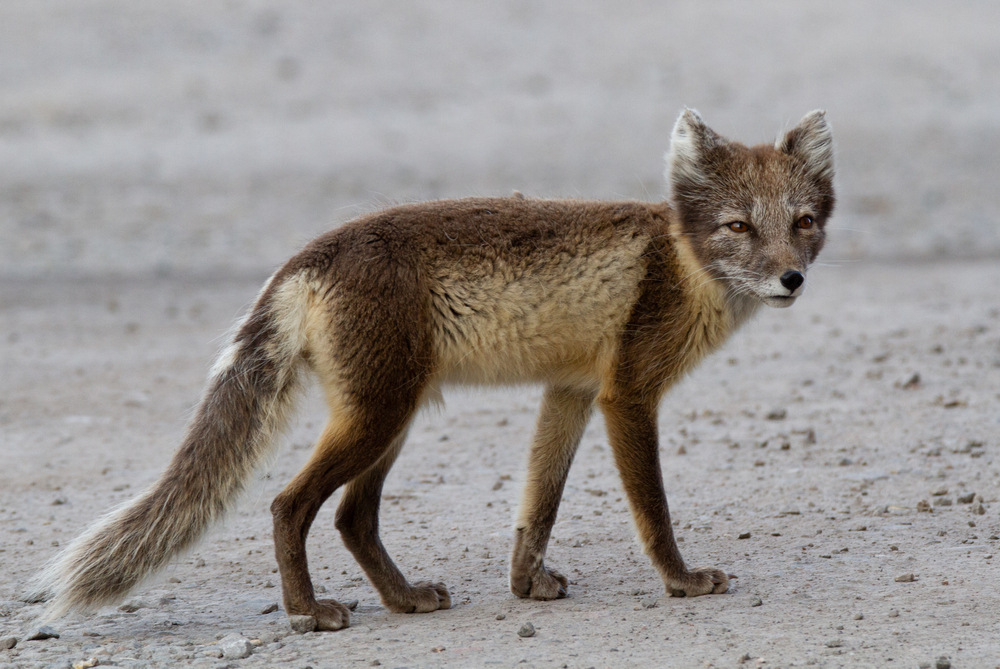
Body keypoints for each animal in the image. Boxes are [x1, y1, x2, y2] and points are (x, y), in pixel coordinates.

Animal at [31, 109, 834, 631]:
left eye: (803, 221)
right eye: (738, 226)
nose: (792, 279)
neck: (678, 263)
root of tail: (306, 257)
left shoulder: (571, 391)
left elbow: (537, 506)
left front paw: (525, 585)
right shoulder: (627, 396)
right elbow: (654, 510)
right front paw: (681, 581)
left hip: (389, 422)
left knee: (352, 517)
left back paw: (403, 600)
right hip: (378, 418)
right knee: (290, 504)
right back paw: (308, 613)